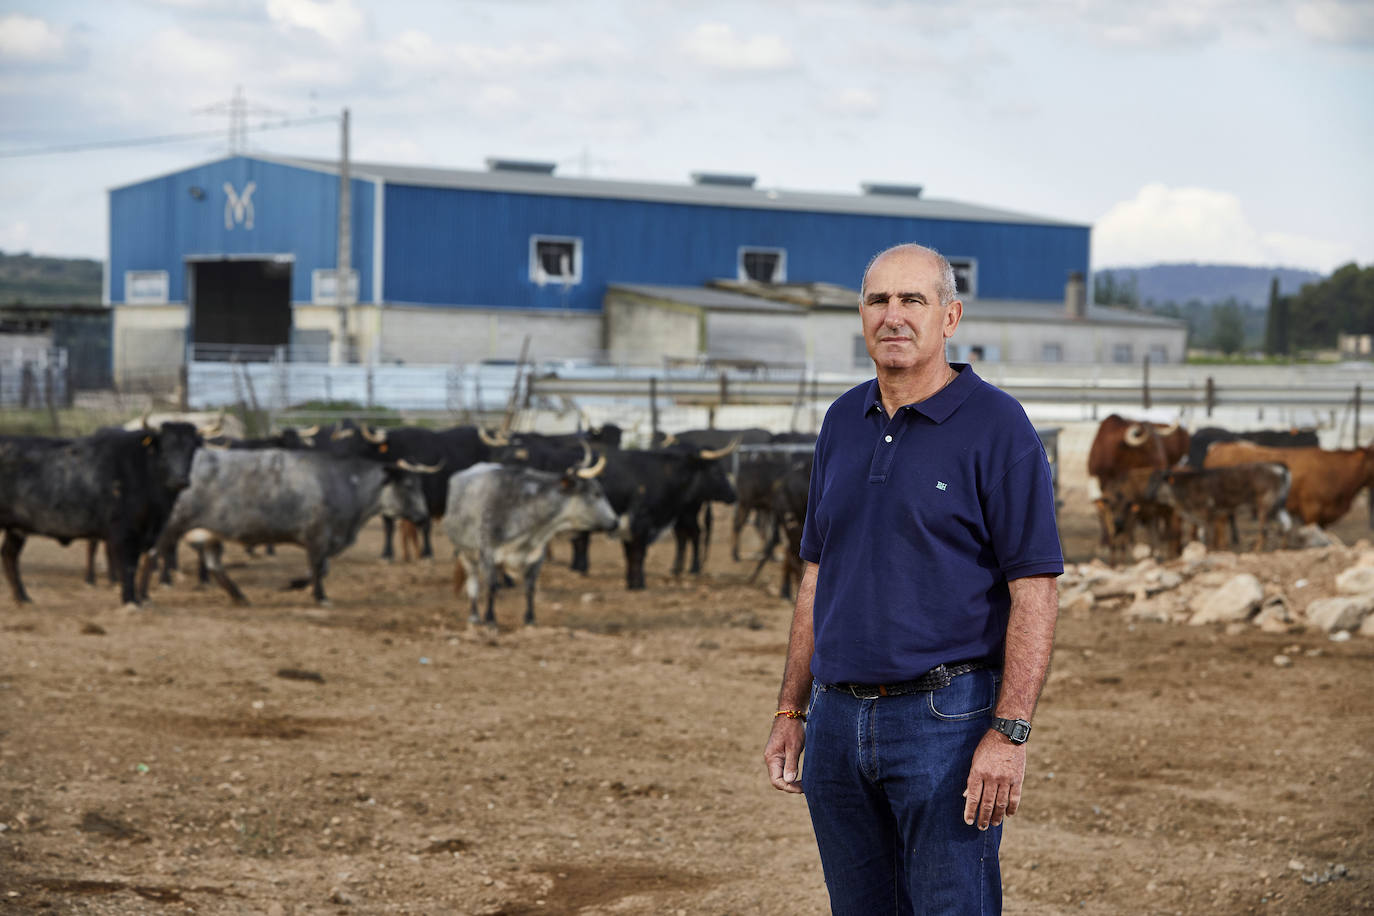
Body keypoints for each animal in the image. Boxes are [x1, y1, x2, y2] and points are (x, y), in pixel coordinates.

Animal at [144, 450, 428, 604]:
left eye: (418, 483)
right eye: (408, 485)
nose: (424, 516)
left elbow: (319, 569)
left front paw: (295, 584)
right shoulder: (318, 536)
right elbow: (318, 568)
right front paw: (320, 596)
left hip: (210, 533)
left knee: (214, 566)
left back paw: (240, 597)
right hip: (171, 526)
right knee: (151, 555)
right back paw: (143, 595)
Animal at [442, 461, 615, 626]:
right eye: (596, 493)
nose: (615, 522)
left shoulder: (537, 556)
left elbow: (530, 588)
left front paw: (530, 618)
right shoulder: (487, 553)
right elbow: (491, 586)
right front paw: (490, 619)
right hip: (466, 553)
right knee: (473, 582)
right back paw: (474, 615)